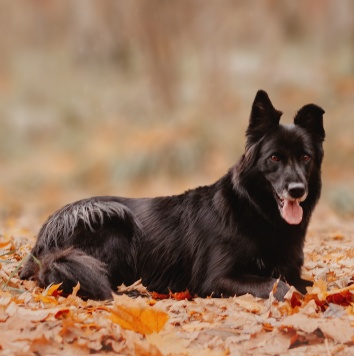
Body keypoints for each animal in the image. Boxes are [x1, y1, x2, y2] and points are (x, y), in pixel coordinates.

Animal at [19, 91, 324, 300]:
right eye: (274, 158)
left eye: (305, 157)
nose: (297, 190)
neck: (254, 210)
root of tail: (41, 240)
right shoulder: (216, 278)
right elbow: (278, 285)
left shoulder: (292, 270)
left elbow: (307, 283)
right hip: (113, 218)